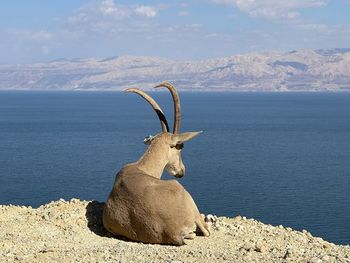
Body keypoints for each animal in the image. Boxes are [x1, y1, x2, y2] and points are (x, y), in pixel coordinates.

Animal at [102, 81, 211, 246]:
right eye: (180, 146)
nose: (181, 171)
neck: (141, 167)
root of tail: (174, 233)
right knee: (205, 230)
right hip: (183, 193)